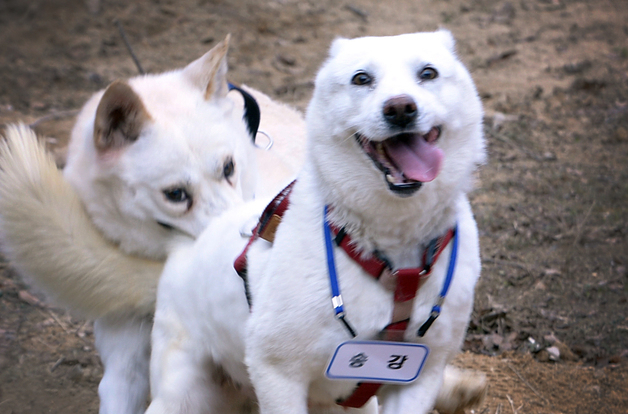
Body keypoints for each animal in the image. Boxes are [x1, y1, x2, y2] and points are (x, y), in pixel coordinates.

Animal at [147, 29, 486, 414]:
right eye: (361, 78)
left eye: (428, 73)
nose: (400, 108)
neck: (392, 258)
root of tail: (194, 241)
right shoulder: (277, 374)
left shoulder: (418, 377)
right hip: (181, 395)